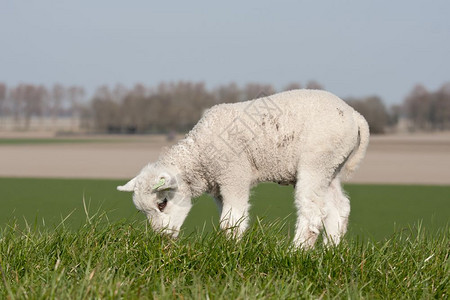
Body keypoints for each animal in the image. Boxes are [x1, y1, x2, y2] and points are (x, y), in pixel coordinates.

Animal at [117, 89, 370, 248]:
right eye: (144, 212)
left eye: (162, 203)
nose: (161, 240)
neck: (200, 155)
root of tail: (354, 115)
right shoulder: (219, 187)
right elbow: (230, 219)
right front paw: (229, 245)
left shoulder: (233, 174)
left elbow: (231, 220)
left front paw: (230, 251)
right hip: (332, 167)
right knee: (338, 208)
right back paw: (330, 252)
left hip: (317, 161)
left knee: (312, 210)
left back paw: (297, 252)